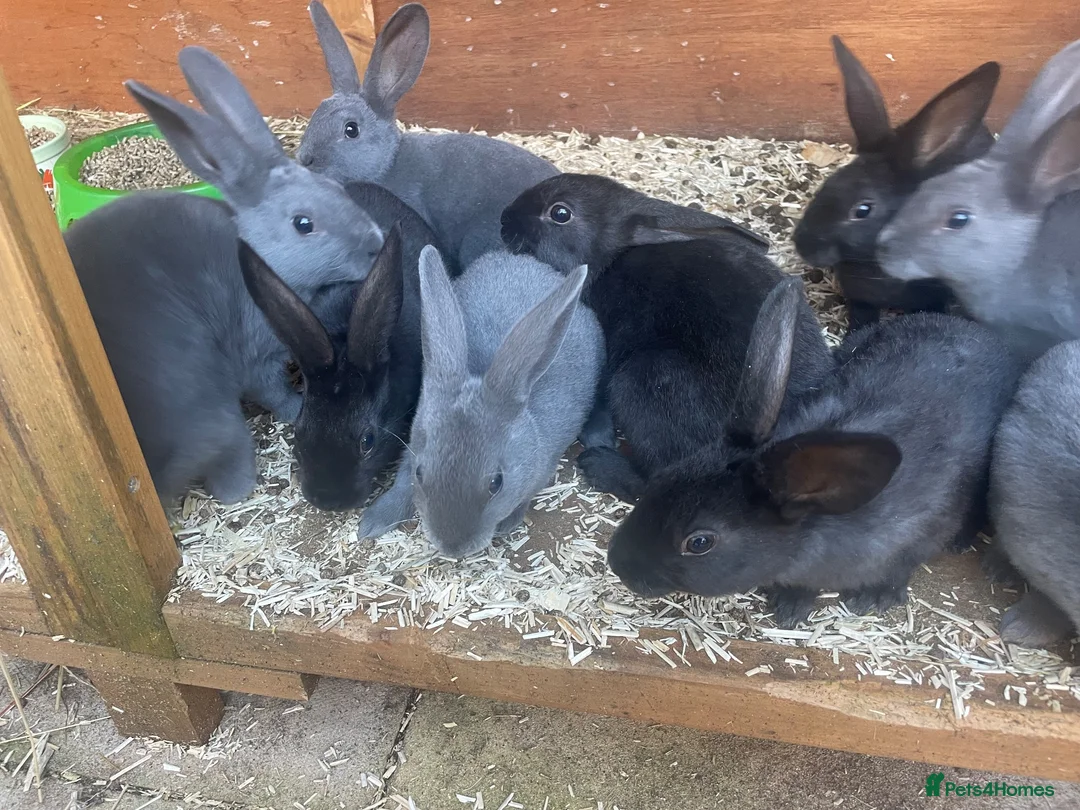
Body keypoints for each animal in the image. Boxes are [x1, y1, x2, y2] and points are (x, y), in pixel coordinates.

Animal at [63, 48, 386, 504]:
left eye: (337, 189)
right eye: (303, 224)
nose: (375, 243)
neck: (259, 256)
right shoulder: (257, 355)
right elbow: (271, 390)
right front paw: (296, 408)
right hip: (210, 406)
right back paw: (236, 490)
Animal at [356, 249, 604, 557]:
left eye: (496, 483)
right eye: (421, 472)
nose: (453, 548)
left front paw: (507, 523)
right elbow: (402, 485)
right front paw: (373, 522)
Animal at [606, 277, 1023, 629]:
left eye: (699, 543)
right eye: (664, 478)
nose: (618, 564)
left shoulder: (919, 534)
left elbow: (899, 570)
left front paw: (871, 599)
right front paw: (791, 606)